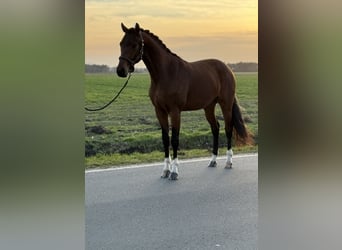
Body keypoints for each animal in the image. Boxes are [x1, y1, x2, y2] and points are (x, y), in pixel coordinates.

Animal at [116, 23, 250, 180]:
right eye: (121, 43)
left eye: (134, 44)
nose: (121, 71)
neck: (165, 74)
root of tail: (227, 68)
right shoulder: (159, 111)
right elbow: (165, 139)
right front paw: (165, 171)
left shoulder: (175, 111)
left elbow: (175, 139)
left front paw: (174, 172)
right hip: (208, 107)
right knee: (215, 128)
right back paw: (213, 161)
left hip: (226, 104)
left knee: (228, 128)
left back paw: (228, 162)